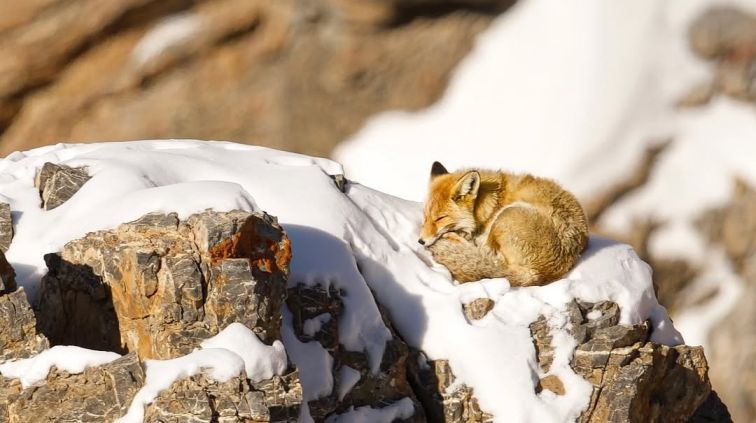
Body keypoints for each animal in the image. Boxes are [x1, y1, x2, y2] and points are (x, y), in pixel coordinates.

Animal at [418, 161, 589, 287]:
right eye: (425, 217)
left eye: (440, 218)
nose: (420, 241)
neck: (489, 204)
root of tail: (539, 275)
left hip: (505, 216)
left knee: (491, 258)